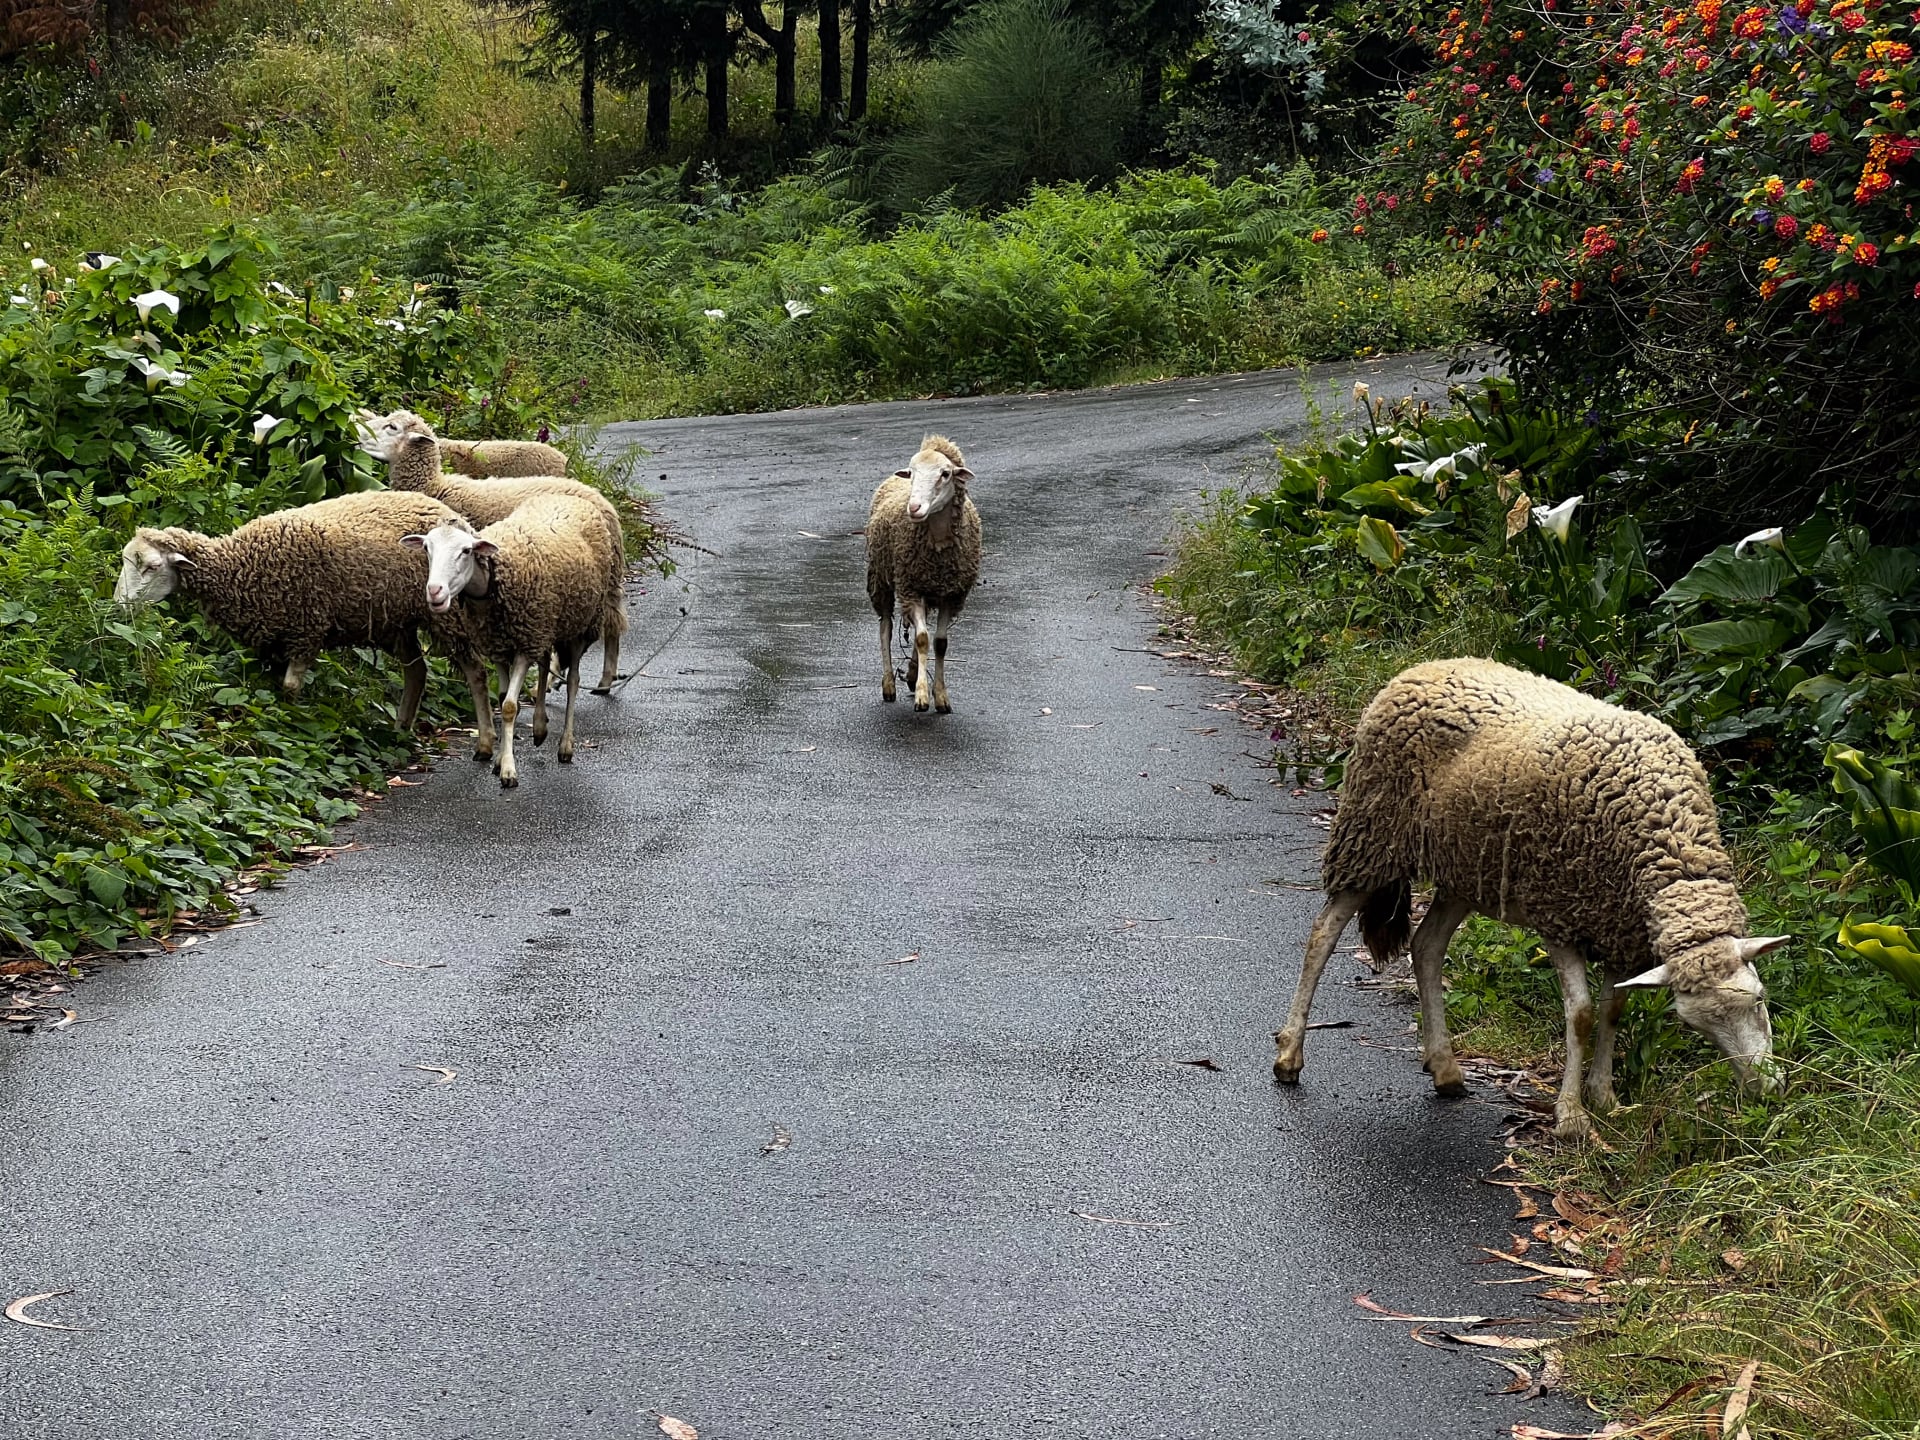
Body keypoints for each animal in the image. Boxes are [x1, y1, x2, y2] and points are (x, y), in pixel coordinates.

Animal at [405, 493, 615, 789]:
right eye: (427, 548)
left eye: (466, 551)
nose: (435, 591)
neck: (495, 578)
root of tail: (566, 495)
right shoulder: (501, 644)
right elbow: (504, 696)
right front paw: (498, 760)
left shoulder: (523, 645)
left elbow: (509, 707)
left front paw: (508, 770)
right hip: (545, 624)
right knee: (544, 665)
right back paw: (539, 727)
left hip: (581, 624)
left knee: (573, 680)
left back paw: (566, 746)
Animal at [865, 435, 983, 713]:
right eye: (913, 473)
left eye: (945, 474)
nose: (914, 507)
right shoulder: (912, 589)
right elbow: (920, 639)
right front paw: (922, 696)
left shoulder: (951, 595)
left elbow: (939, 643)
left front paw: (940, 696)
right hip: (881, 579)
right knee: (886, 628)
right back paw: (889, 684)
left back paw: (910, 673)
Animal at [1271, 658, 1787, 1143]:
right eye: (1694, 1025)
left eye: (1760, 1000)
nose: (1766, 1090)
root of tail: (1422, 668)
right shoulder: (1560, 913)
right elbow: (1581, 1015)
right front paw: (1572, 1115)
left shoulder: (1616, 924)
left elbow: (1613, 1010)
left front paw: (1606, 1098)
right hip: (1373, 833)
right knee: (1323, 932)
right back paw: (1289, 1054)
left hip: (1464, 869)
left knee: (1427, 945)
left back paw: (1445, 1068)